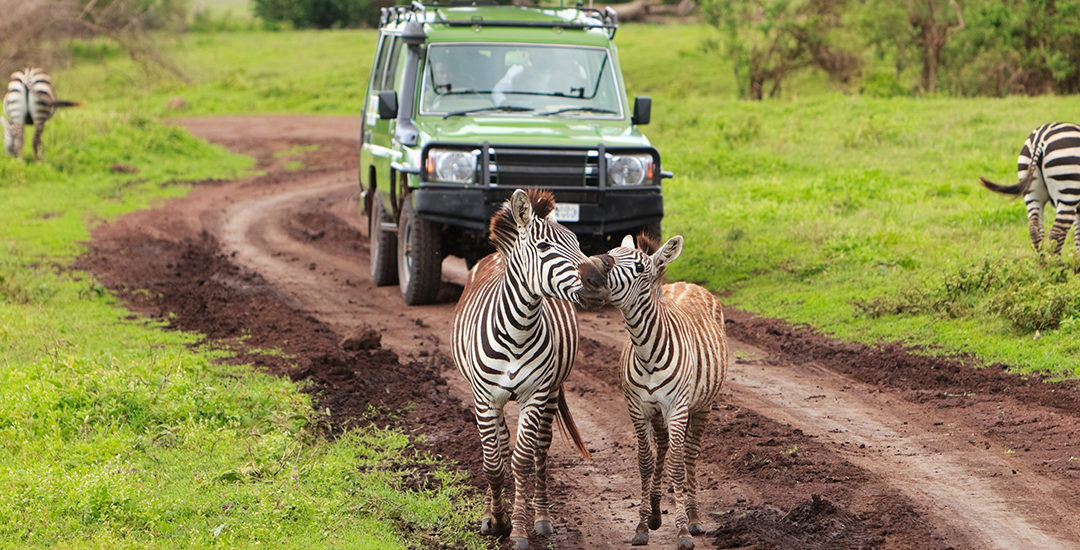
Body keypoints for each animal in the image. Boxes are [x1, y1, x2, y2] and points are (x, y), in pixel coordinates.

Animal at [449, 186, 596, 546]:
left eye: (577, 242)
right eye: (544, 247)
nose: (596, 277)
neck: (518, 330)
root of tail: (494, 255)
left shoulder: (535, 395)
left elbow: (521, 462)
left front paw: (516, 529)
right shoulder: (484, 398)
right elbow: (492, 464)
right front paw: (496, 519)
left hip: (552, 392)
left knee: (540, 450)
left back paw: (541, 518)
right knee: (499, 447)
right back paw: (490, 513)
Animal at [583, 232, 725, 548]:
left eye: (638, 267)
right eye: (611, 251)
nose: (588, 269)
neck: (646, 351)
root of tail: (689, 284)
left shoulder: (676, 409)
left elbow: (677, 465)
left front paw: (683, 531)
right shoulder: (638, 408)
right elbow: (645, 462)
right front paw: (642, 525)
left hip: (702, 405)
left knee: (689, 453)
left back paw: (694, 518)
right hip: (659, 413)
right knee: (662, 447)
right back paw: (657, 513)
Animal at [984, 121, 1080, 253]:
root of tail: (1040, 138)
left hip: (1031, 191)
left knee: (1035, 230)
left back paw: (1041, 259)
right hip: (1068, 192)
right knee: (1056, 232)